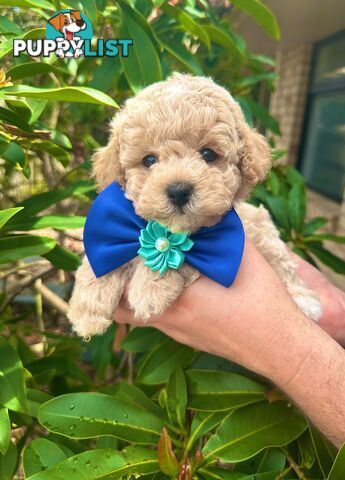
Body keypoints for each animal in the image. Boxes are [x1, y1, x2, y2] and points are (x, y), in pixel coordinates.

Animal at [68, 74, 322, 338]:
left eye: (208, 154)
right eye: (149, 160)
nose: (179, 191)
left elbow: (182, 254)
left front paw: (150, 288)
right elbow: (100, 258)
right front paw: (87, 307)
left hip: (265, 234)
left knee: (285, 267)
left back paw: (304, 301)